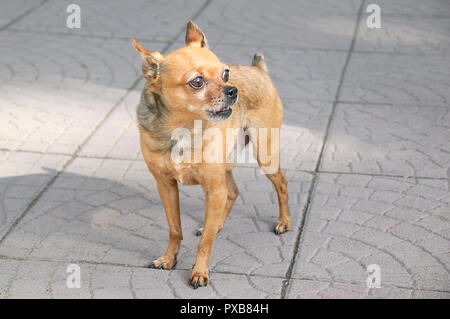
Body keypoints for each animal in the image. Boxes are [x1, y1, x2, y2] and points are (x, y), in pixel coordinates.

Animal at [132, 21, 290, 288]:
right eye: (197, 82)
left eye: (225, 73)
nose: (233, 90)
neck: (184, 129)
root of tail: (258, 69)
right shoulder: (166, 185)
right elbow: (175, 228)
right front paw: (169, 258)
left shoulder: (213, 188)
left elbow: (205, 241)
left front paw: (199, 271)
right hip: (226, 166)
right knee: (233, 192)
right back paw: (218, 225)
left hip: (264, 155)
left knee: (281, 184)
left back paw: (284, 222)